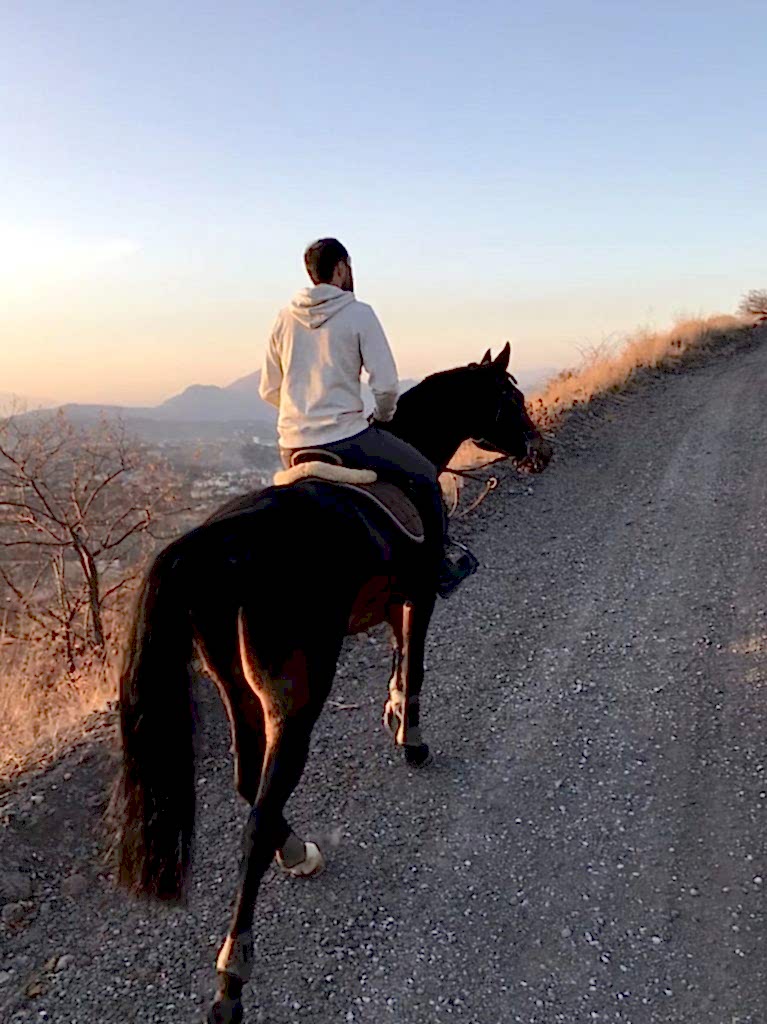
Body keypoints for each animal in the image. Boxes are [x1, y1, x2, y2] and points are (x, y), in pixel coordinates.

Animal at [111, 344, 552, 1023]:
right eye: (511, 398)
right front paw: (411, 739)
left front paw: (392, 712)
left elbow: (399, 657)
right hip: (298, 695)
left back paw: (297, 853)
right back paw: (231, 978)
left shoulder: (394, 600)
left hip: (234, 684)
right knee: (259, 811)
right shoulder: (421, 593)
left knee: (250, 784)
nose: (540, 450)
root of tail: (216, 543)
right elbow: (416, 661)